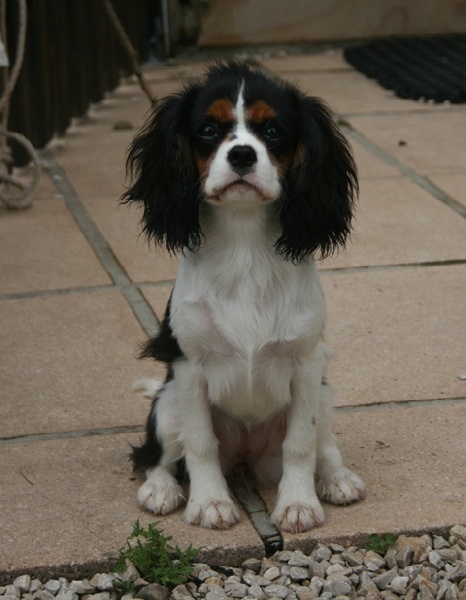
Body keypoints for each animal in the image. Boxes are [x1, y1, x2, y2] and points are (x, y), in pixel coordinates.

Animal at [123, 60, 365, 533]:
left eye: (272, 131)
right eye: (207, 129)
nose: (241, 155)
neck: (244, 242)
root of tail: (245, 460)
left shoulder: (307, 363)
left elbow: (301, 443)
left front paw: (298, 504)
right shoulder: (190, 367)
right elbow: (200, 442)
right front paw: (210, 503)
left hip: (325, 396)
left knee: (324, 443)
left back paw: (337, 477)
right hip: (166, 402)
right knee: (157, 455)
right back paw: (162, 489)